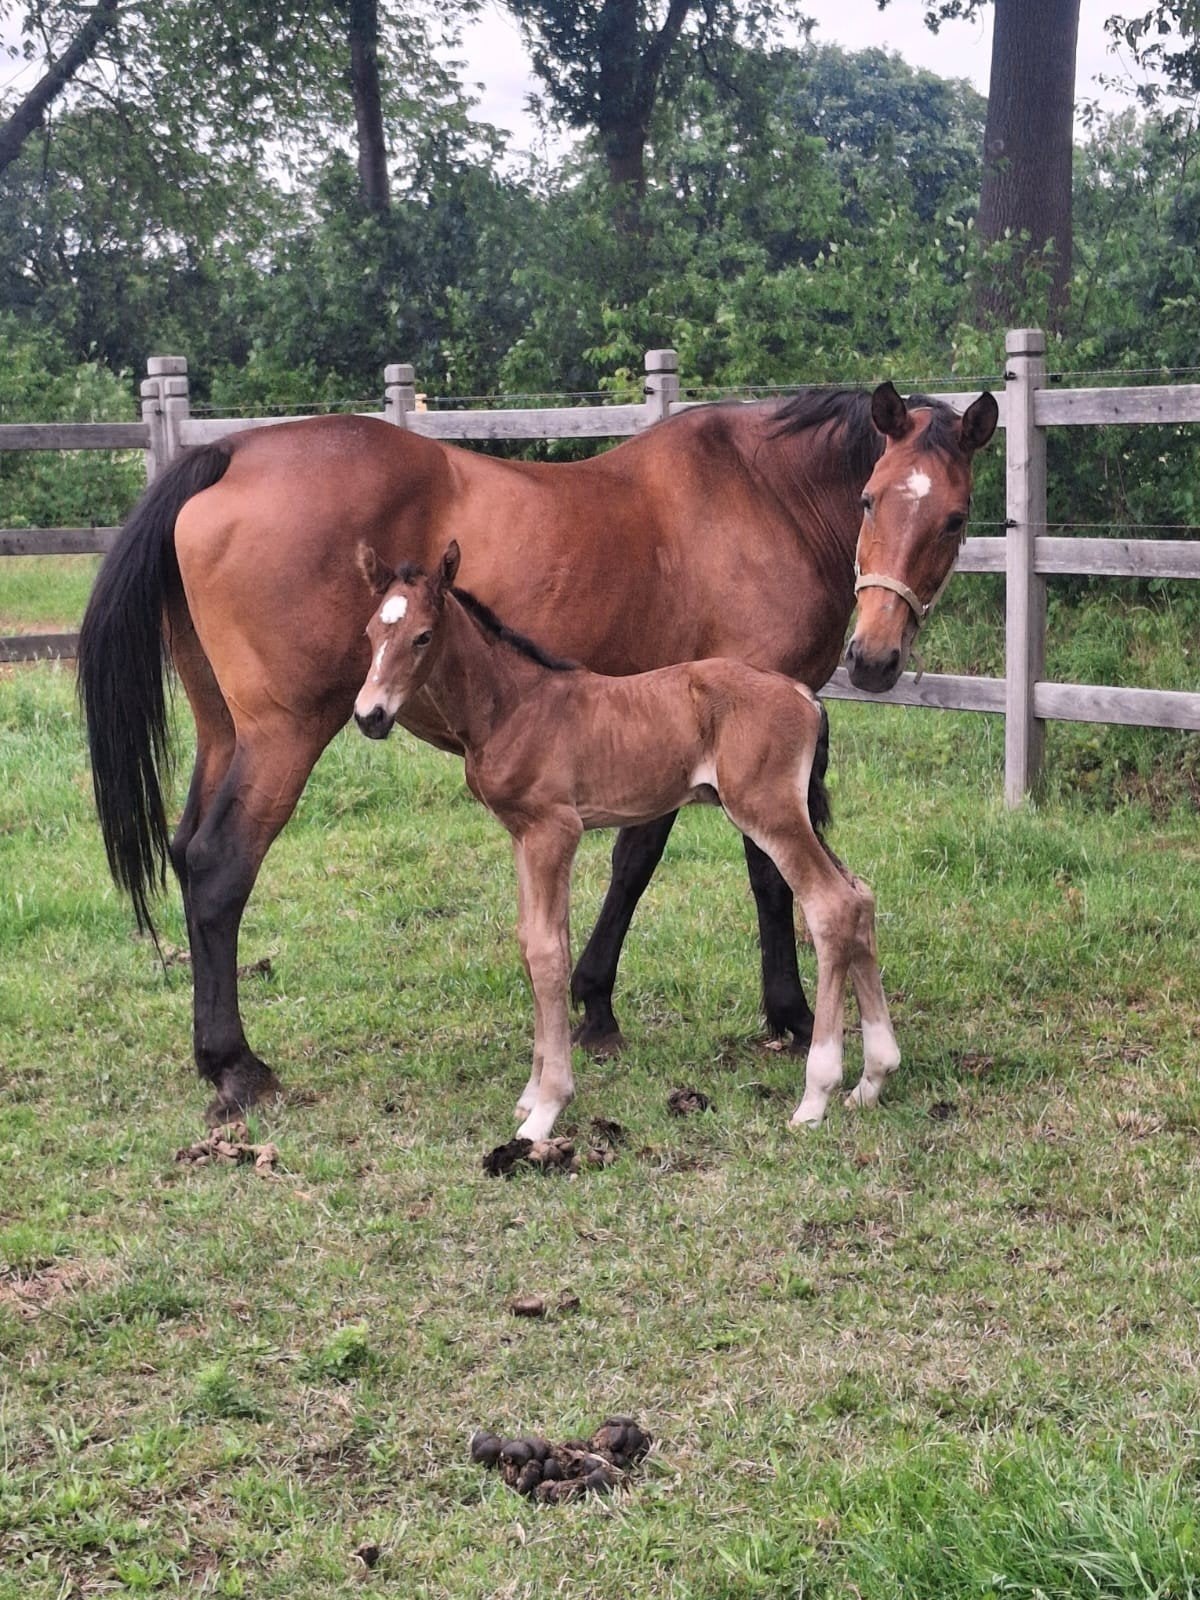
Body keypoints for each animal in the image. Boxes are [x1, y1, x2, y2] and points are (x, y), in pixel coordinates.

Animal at [354, 539, 900, 1135]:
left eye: (423, 636)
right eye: (370, 633)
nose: (369, 716)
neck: (515, 705)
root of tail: (806, 697)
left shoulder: (554, 831)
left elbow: (547, 953)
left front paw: (546, 1109)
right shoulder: (522, 833)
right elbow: (532, 942)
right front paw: (531, 1093)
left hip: (769, 811)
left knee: (830, 906)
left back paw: (816, 1095)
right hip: (791, 811)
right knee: (860, 896)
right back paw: (872, 1079)